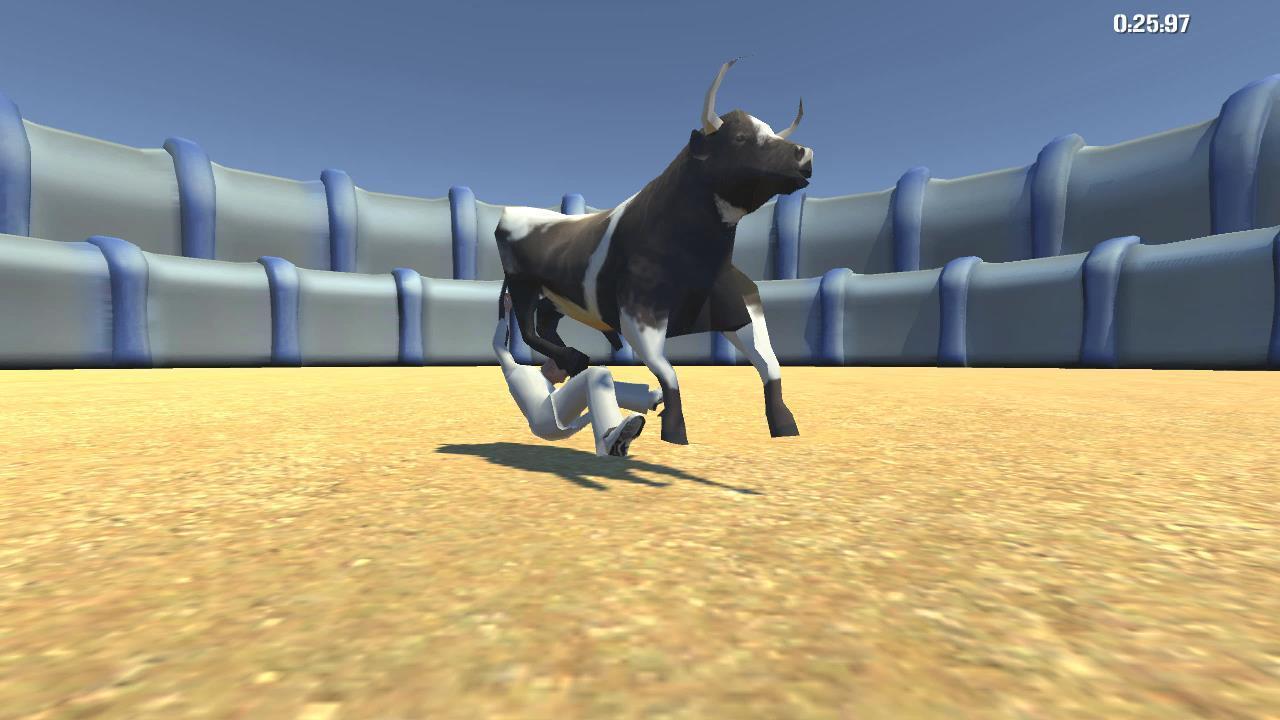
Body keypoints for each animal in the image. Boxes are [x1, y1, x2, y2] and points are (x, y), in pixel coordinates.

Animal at [494, 58, 813, 445]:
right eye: (740, 138)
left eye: (772, 134)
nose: (804, 154)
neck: (697, 259)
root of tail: (511, 212)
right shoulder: (640, 315)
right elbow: (669, 373)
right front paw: (673, 429)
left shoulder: (744, 305)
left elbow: (771, 365)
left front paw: (784, 422)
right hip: (522, 283)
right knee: (528, 329)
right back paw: (572, 359)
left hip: (555, 295)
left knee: (545, 321)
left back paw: (571, 360)